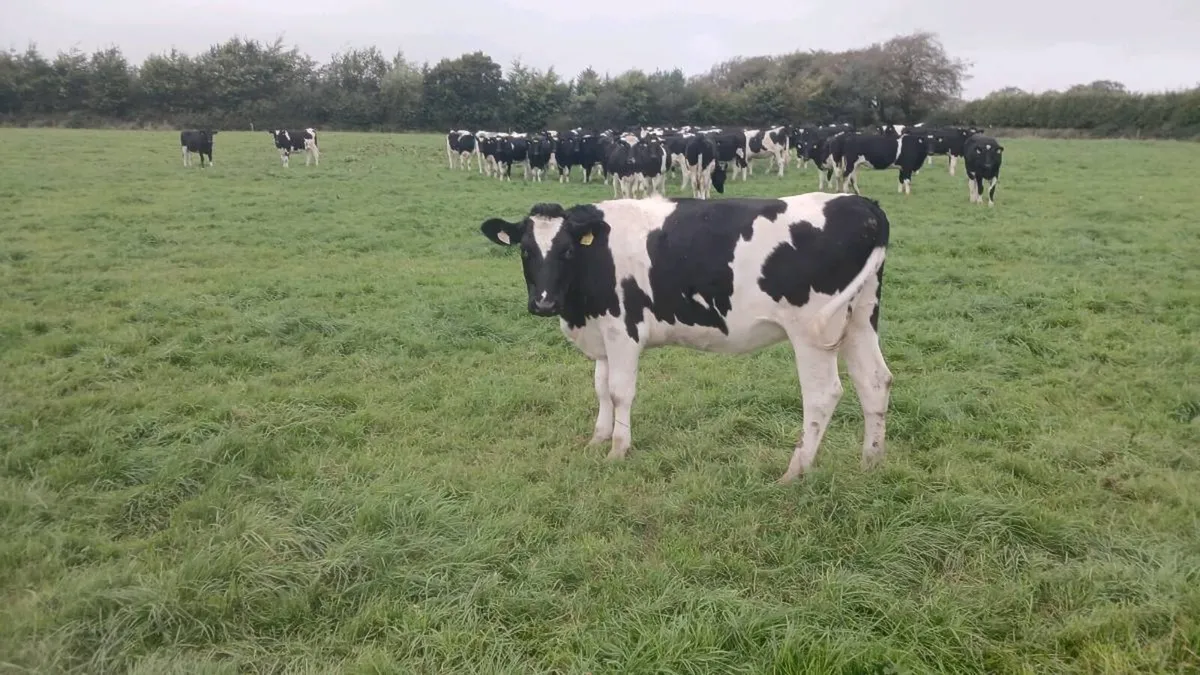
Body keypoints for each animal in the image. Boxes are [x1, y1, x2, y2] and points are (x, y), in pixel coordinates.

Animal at [478, 193, 894, 483]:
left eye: (566, 251)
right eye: (525, 251)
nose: (543, 303)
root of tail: (860, 203)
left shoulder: (622, 329)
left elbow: (619, 391)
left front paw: (618, 450)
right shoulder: (602, 332)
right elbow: (600, 388)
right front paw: (597, 439)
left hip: (812, 330)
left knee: (822, 394)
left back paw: (794, 472)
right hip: (860, 316)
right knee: (874, 381)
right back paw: (870, 463)